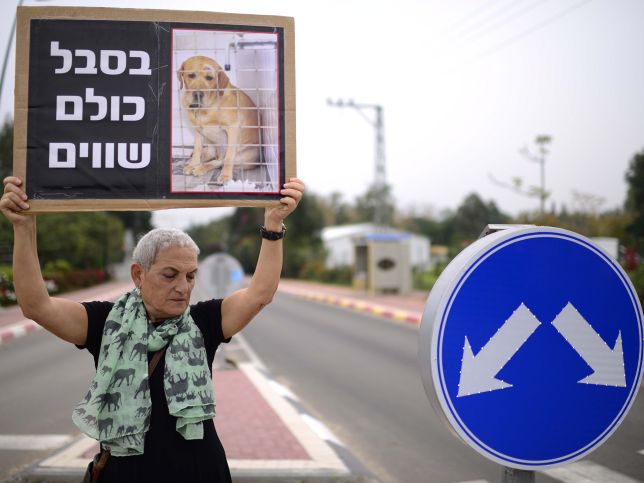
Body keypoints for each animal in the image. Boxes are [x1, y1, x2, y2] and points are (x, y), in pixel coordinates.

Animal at [177, 55, 260, 185]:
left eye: (209, 78)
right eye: (191, 75)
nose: (198, 94)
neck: (208, 108)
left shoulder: (233, 129)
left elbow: (229, 157)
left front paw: (225, 175)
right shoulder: (198, 131)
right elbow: (197, 149)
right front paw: (193, 164)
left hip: (246, 154)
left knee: (220, 161)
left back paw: (202, 168)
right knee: (212, 154)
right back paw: (197, 161)